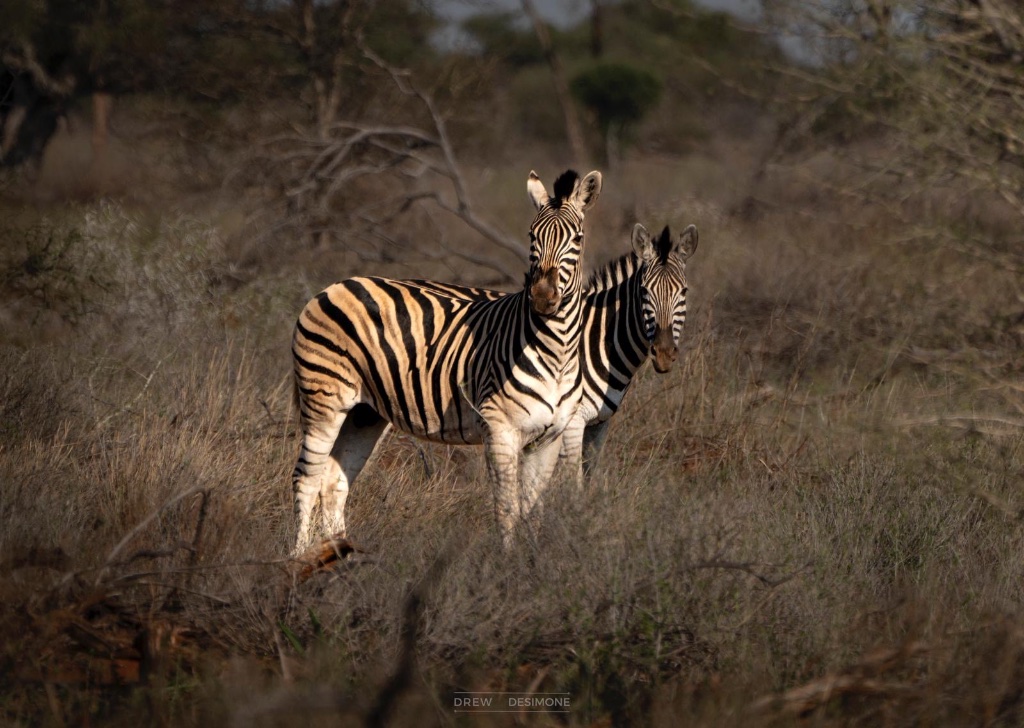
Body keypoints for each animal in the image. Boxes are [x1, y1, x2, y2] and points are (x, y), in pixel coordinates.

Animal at [290, 169, 602, 554]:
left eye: (577, 238)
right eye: (532, 236)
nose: (543, 298)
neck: (556, 350)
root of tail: (332, 286)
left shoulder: (549, 436)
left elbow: (533, 508)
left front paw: (531, 561)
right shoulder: (499, 429)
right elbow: (507, 507)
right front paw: (508, 562)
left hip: (364, 413)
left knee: (333, 481)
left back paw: (337, 558)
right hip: (323, 399)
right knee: (306, 478)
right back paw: (297, 560)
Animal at [394, 222, 699, 483]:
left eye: (684, 292)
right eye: (644, 292)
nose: (663, 353)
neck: (600, 338)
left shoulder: (598, 426)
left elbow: (589, 478)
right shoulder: (572, 422)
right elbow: (572, 481)